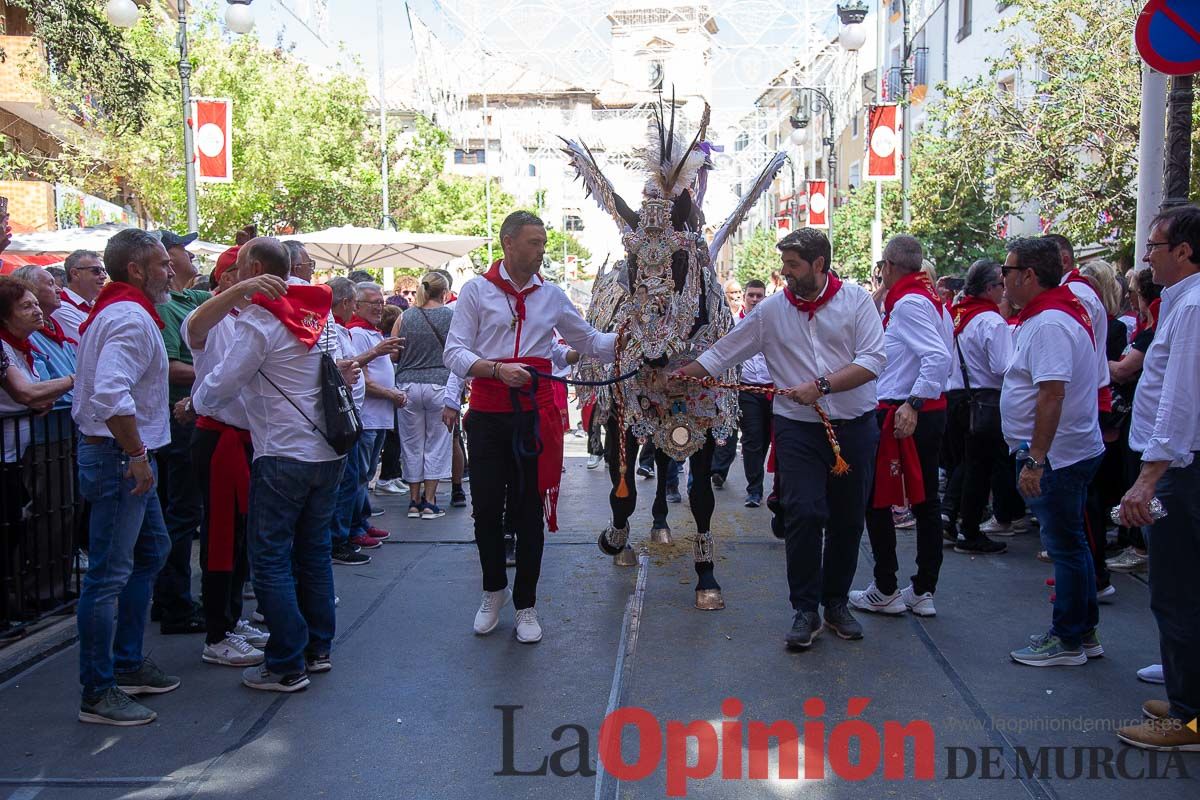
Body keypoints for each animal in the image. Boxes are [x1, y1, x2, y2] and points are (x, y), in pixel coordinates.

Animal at [559, 101, 782, 614]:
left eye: (679, 263)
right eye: (633, 263)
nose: (651, 352)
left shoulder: (703, 417)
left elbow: (701, 497)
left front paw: (706, 576)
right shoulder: (624, 413)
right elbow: (621, 486)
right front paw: (614, 539)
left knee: (664, 465)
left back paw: (662, 522)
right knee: (648, 464)